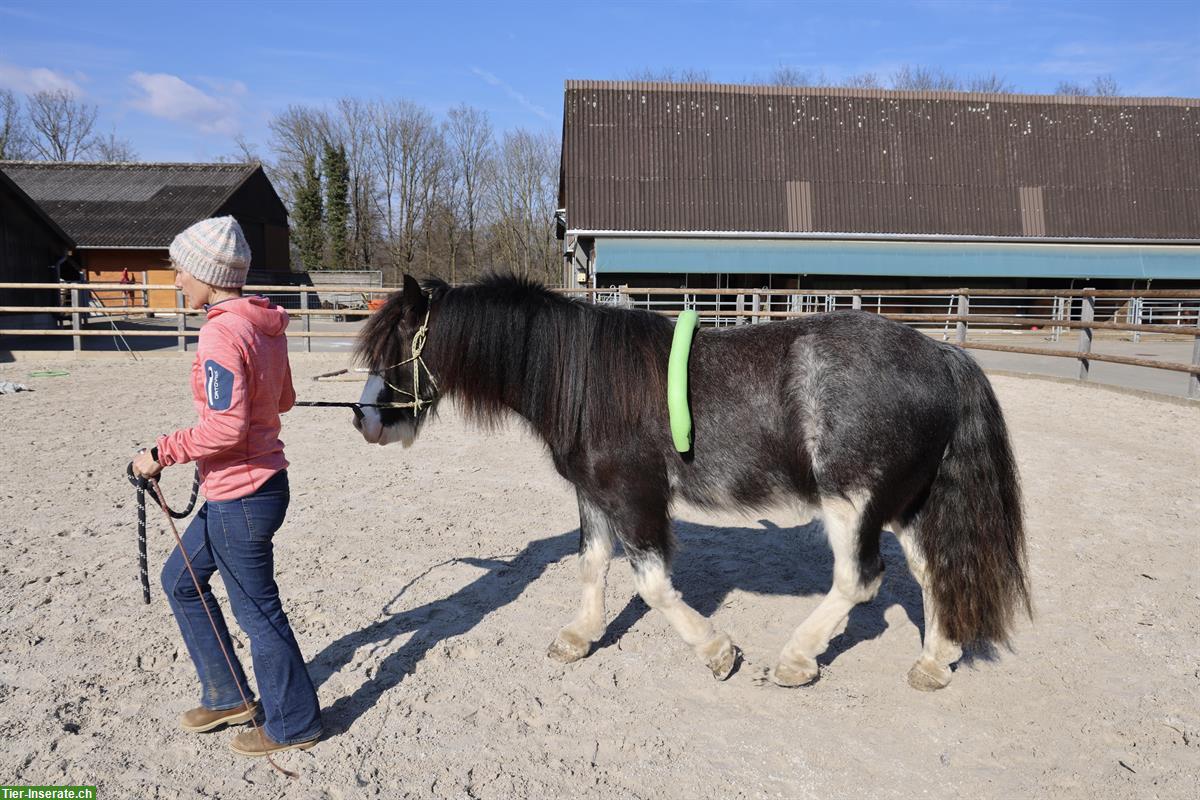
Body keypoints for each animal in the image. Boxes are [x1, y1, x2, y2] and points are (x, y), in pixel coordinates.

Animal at [350, 273, 1027, 690]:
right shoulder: (594, 496)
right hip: (908, 501)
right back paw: (935, 661)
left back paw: (795, 659)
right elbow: (591, 564)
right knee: (933, 569)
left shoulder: (635, 496)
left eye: (395, 348)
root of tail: (944, 356)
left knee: (858, 581)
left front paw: (716, 651)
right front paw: (578, 637)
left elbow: (651, 585)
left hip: (852, 504)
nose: (365, 420)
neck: (583, 378)